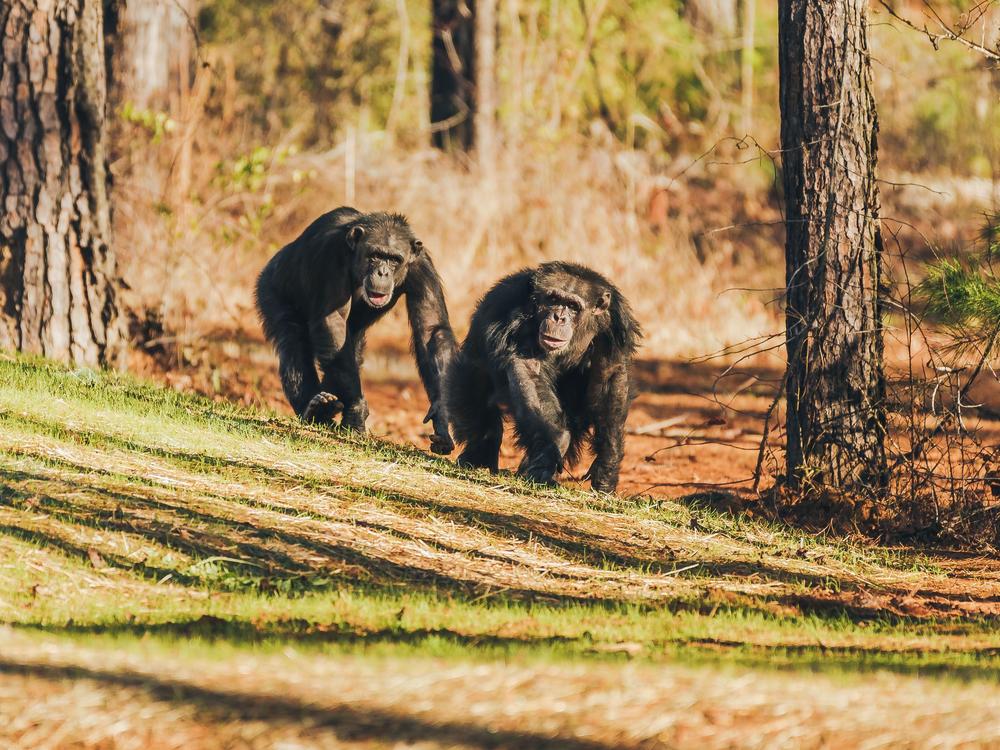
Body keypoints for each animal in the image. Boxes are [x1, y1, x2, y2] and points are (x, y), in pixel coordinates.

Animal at [446, 262, 640, 494]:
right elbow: (530, 370)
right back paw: (479, 456)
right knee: (474, 397)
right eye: (553, 300)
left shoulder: (614, 324)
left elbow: (610, 375)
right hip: (465, 371)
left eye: (573, 306)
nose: (559, 317)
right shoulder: (513, 315)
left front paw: (607, 467)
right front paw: (554, 445)